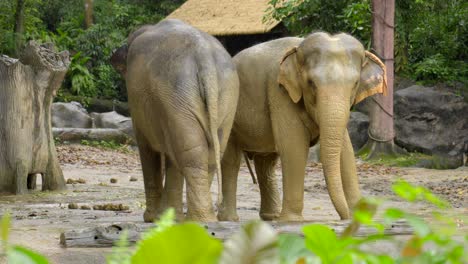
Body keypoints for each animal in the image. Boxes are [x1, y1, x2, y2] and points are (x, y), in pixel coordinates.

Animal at [125, 19, 238, 223]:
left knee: (192, 152)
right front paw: (165, 217)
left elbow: (147, 150)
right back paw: (203, 219)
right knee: (208, 152)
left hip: (177, 94)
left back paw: (198, 219)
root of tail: (204, 56)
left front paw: (152, 218)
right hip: (223, 95)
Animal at [219, 32, 388, 222]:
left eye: (355, 84)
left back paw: (270, 216)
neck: (298, 48)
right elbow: (294, 146)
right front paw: (292, 220)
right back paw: (229, 218)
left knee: (266, 163)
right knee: (231, 160)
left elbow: (346, 151)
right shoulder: (279, 92)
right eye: (311, 83)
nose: (345, 217)